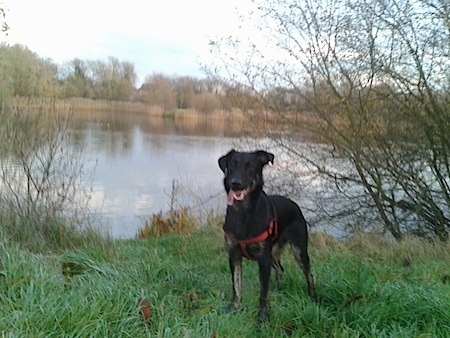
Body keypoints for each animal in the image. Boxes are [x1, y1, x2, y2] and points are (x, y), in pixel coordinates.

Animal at [218, 150, 316, 322]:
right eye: (232, 165)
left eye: (250, 166)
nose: (235, 183)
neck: (243, 213)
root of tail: (295, 204)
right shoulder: (234, 255)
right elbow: (236, 285)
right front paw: (233, 308)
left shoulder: (263, 259)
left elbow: (263, 293)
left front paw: (263, 317)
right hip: (273, 253)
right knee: (281, 269)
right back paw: (277, 289)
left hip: (299, 250)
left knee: (309, 274)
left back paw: (312, 296)